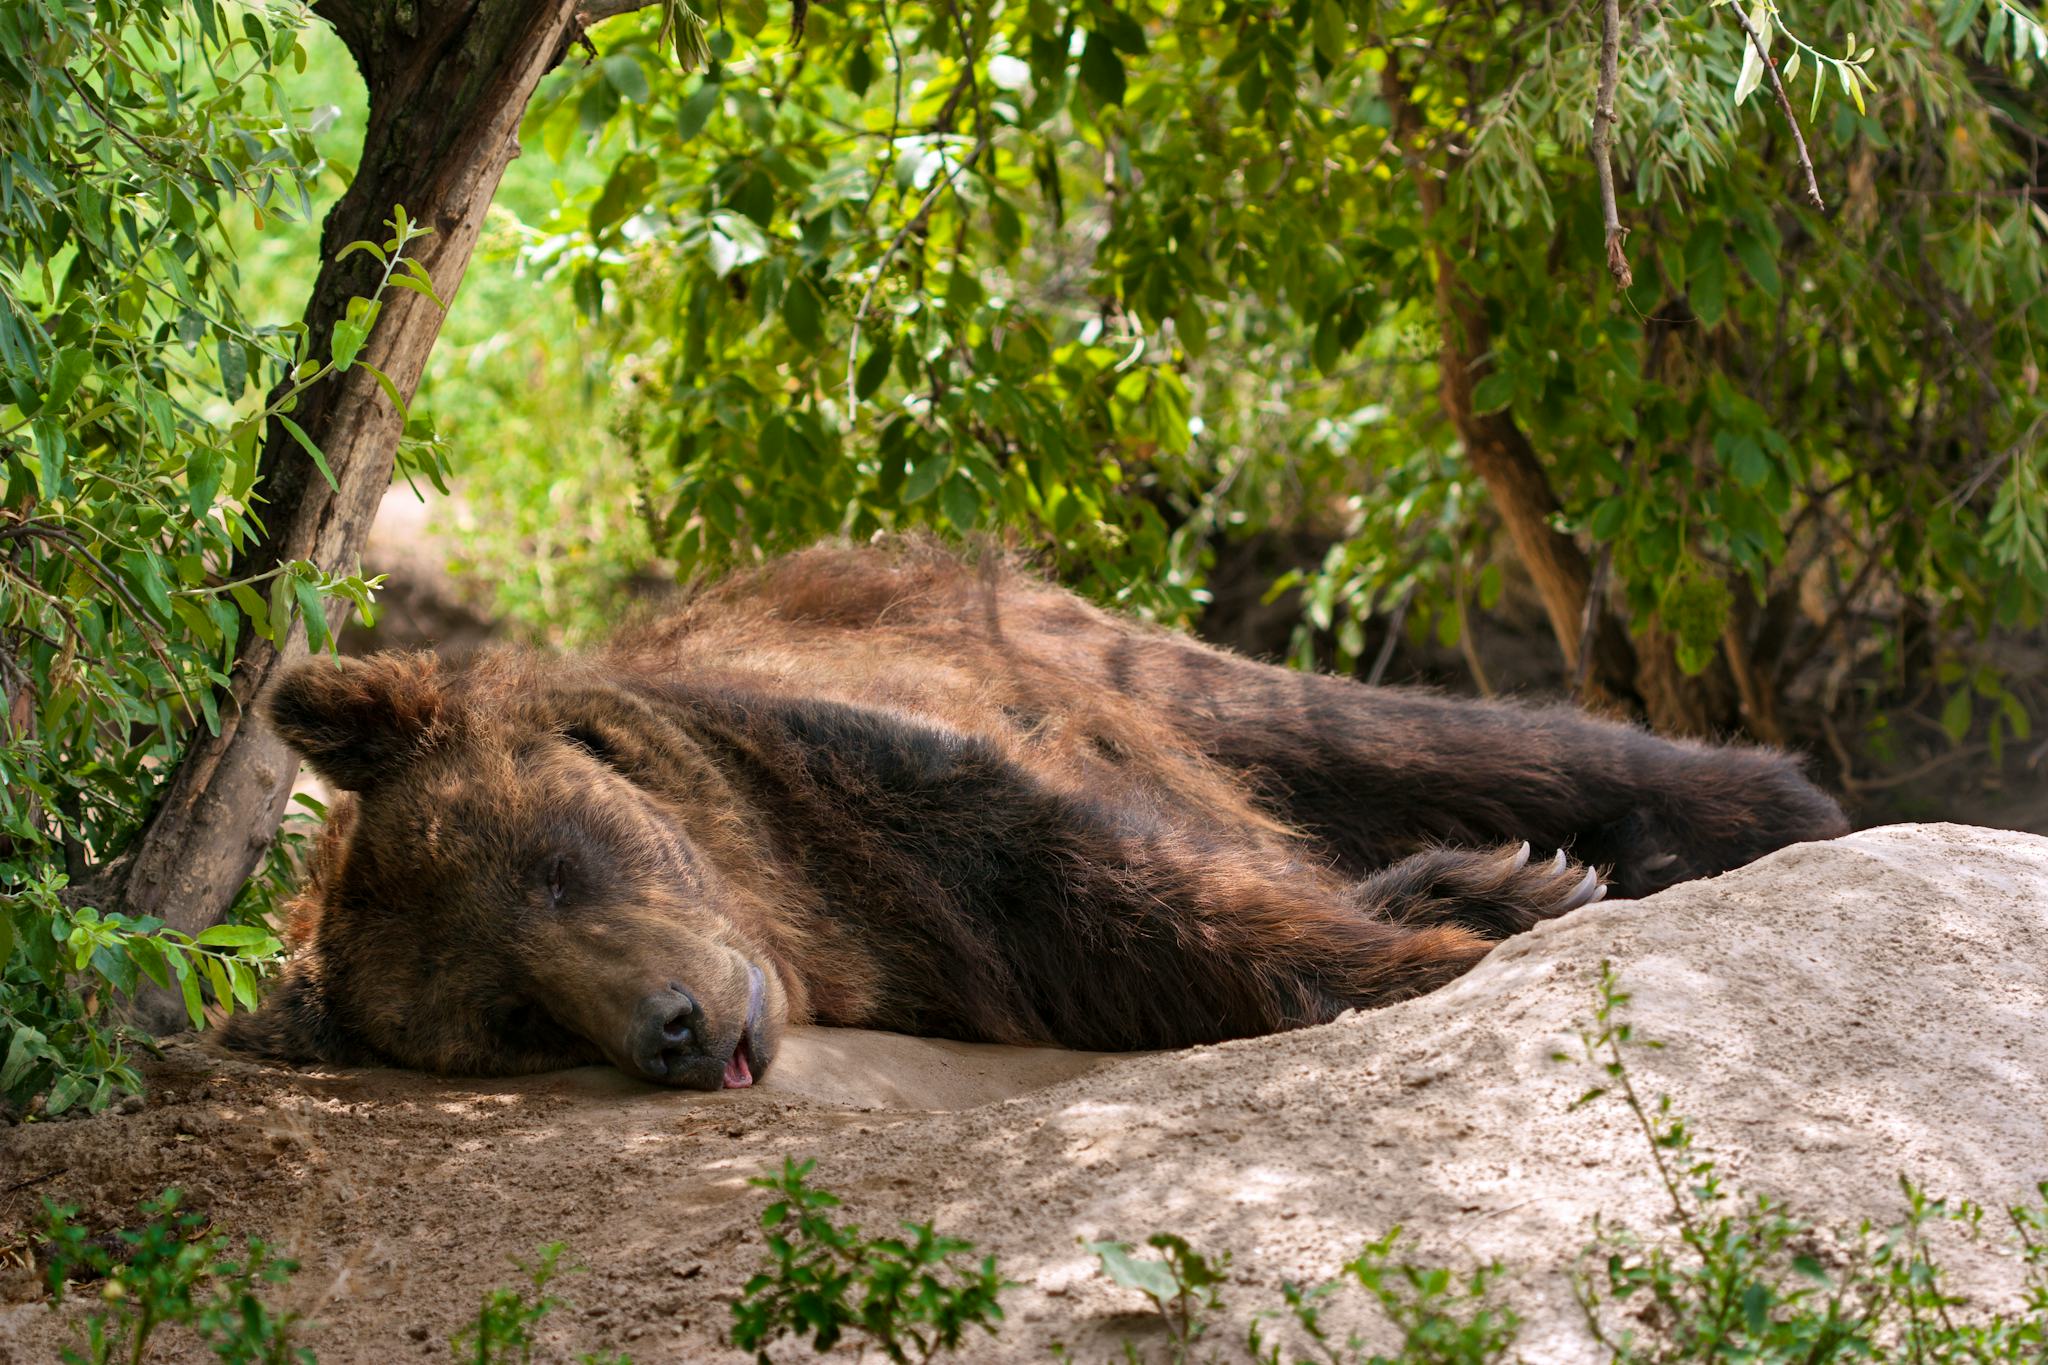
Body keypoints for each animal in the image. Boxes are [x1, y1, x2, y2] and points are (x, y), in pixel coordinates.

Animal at [220, 532, 1843, 1088]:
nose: (670, 1031)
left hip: (1074, 650)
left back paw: (1761, 800)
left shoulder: (875, 775)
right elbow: (1160, 944)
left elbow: (1114, 870)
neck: (803, 913)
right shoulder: (956, 950)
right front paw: (1463, 914)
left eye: (557, 866)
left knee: (1390, 736)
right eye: (513, 1019)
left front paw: (1498, 912)